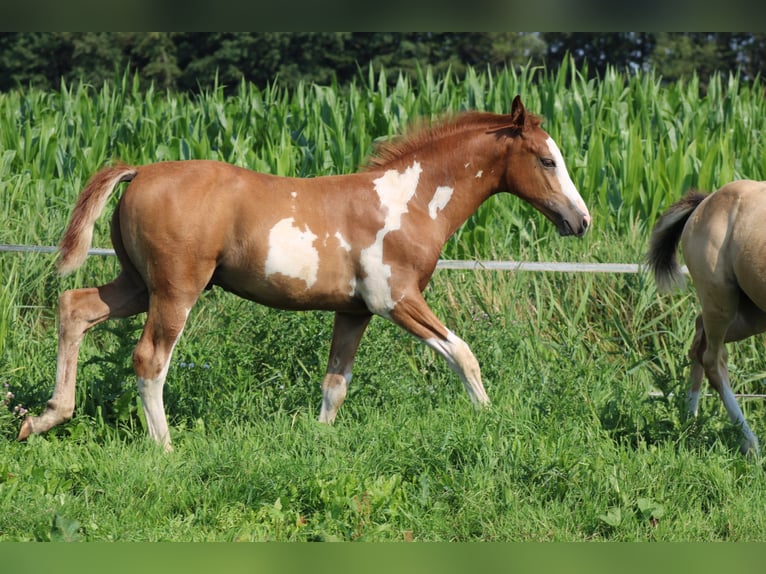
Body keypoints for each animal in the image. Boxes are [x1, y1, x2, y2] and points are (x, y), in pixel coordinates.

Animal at [19, 97, 592, 452]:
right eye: (547, 160)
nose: (580, 220)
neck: (409, 202)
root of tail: (140, 171)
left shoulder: (355, 312)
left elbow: (335, 384)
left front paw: (318, 442)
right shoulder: (396, 300)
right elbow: (463, 354)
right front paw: (491, 420)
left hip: (138, 285)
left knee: (74, 307)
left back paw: (42, 418)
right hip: (175, 290)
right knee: (149, 360)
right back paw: (164, 448)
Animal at [648, 182, 766, 456]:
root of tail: (707, 200)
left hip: (751, 315)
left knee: (698, 341)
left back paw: (689, 422)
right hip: (720, 302)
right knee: (712, 358)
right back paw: (750, 444)